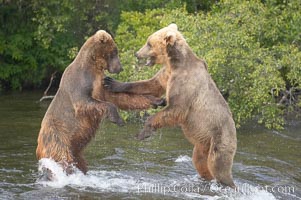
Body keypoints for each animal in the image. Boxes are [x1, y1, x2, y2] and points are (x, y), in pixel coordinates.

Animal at [36, 29, 165, 177]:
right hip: (58, 139)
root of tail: (39, 145)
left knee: (80, 163)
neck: (93, 66)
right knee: (64, 160)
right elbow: (87, 103)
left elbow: (120, 97)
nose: (120, 68)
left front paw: (158, 100)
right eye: (115, 51)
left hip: (75, 150)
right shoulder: (78, 83)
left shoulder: (100, 84)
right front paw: (119, 120)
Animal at [104, 24, 238, 188]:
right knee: (200, 162)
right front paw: (111, 82)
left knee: (218, 165)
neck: (175, 63)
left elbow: (175, 109)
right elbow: (150, 84)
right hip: (203, 144)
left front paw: (143, 133)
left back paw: (226, 184)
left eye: (149, 43)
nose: (137, 53)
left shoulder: (185, 84)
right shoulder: (167, 74)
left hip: (220, 138)